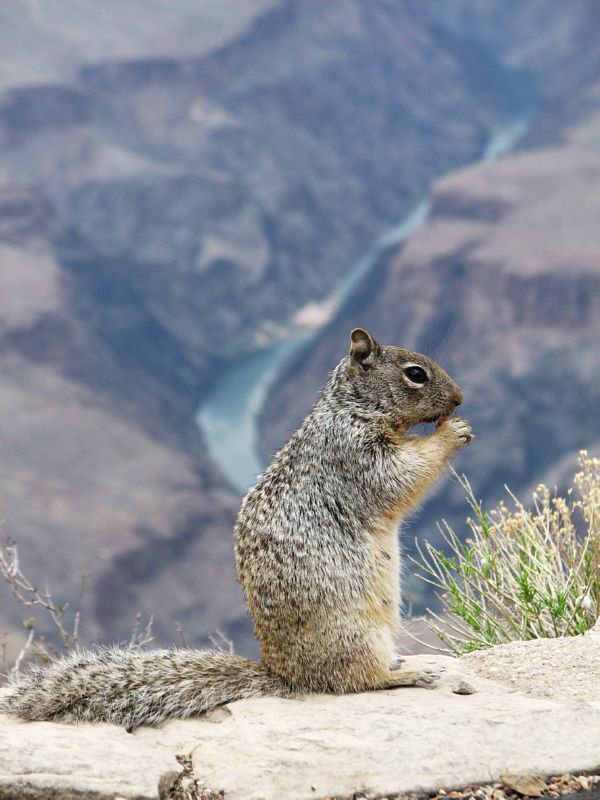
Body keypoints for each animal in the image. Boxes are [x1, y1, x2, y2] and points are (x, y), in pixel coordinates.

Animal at [2, 328, 476, 728]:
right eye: (415, 373)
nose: (460, 398)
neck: (351, 409)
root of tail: (287, 675)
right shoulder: (356, 454)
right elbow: (401, 475)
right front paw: (453, 432)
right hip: (357, 633)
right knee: (357, 679)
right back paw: (412, 672)